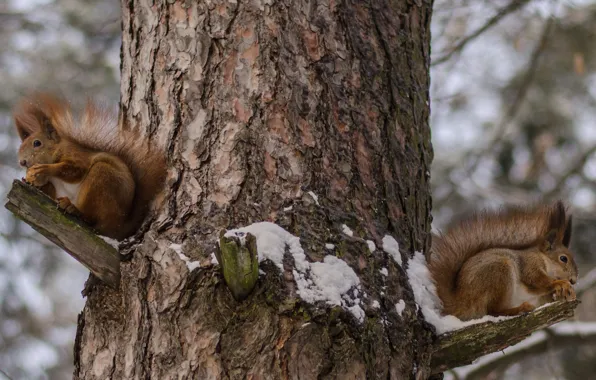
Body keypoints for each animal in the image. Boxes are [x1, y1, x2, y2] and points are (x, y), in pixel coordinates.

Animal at [12, 93, 166, 239]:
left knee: (92, 218)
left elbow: (74, 170)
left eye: (37, 143)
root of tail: (119, 227)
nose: (22, 162)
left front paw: (44, 169)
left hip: (102, 177)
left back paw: (75, 209)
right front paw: (31, 181)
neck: (56, 150)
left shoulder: (77, 156)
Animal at [428, 202, 576, 320]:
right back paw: (520, 308)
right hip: (499, 272)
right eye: (563, 258)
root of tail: (460, 301)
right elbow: (536, 279)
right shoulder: (529, 263)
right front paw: (561, 283)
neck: (543, 258)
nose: (574, 280)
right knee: (494, 311)